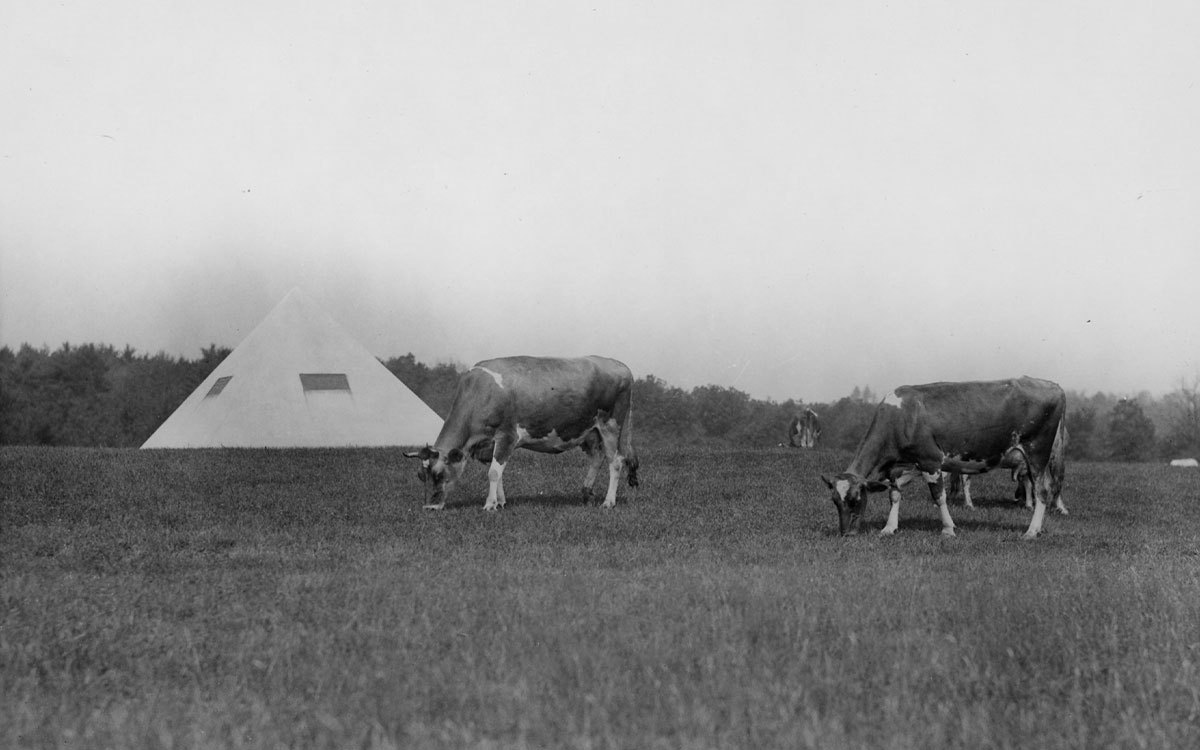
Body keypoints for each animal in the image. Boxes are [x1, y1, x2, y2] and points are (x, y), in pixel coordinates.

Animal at [403, 355, 638, 508]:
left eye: (439, 474)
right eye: (420, 475)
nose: (429, 508)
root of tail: (621, 365)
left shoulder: (507, 436)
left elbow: (494, 472)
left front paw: (490, 504)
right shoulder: (492, 444)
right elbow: (498, 473)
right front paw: (501, 501)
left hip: (610, 425)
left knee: (616, 462)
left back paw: (608, 502)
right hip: (588, 432)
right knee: (597, 457)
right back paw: (586, 493)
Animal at [816, 376, 1070, 535]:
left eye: (855, 499)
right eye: (835, 501)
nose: (846, 533)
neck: (901, 417)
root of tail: (1053, 385)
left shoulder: (930, 462)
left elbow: (939, 497)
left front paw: (948, 528)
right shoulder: (903, 467)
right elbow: (894, 494)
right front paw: (889, 528)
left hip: (1037, 452)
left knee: (1043, 490)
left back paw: (1031, 531)